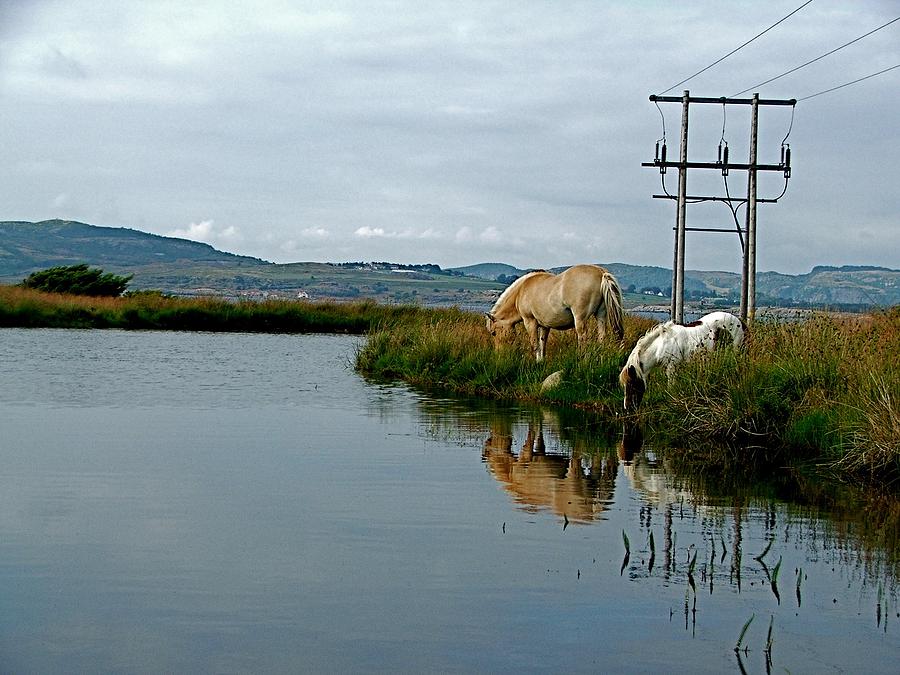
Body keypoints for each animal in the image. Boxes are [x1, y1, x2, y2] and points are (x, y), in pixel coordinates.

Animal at [486, 262, 624, 362]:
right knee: (601, 336)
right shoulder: (544, 326)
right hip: (601, 315)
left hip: (580, 319)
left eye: (493, 333)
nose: (498, 354)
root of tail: (601, 272)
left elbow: (535, 344)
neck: (521, 291)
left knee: (583, 338)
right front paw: (541, 362)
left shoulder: (529, 322)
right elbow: (542, 343)